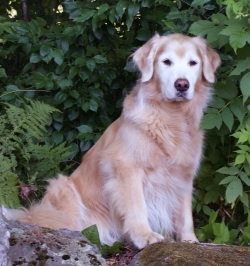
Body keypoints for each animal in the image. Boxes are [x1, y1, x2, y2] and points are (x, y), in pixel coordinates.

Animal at [6, 33, 221, 249]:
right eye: (166, 61)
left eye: (193, 63)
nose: (182, 85)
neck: (171, 117)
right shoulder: (127, 167)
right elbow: (137, 206)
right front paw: (144, 235)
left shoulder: (184, 173)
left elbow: (185, 214)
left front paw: (190, 241)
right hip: (63, 188)